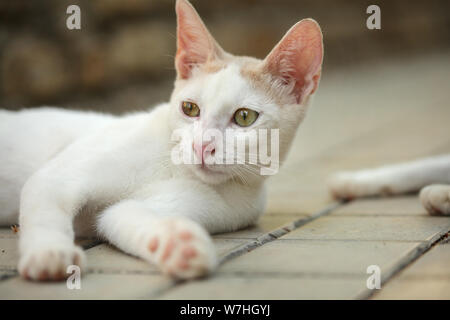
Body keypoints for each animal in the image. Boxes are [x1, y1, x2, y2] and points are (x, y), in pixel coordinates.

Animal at [0, 0, 324, 280]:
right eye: (189, 108)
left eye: (244, 117)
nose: (201, 146)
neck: (173, 167)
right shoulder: (57, 176)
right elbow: (46, 211)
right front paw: (50, 254)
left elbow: (121, 215)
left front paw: (176, 245)